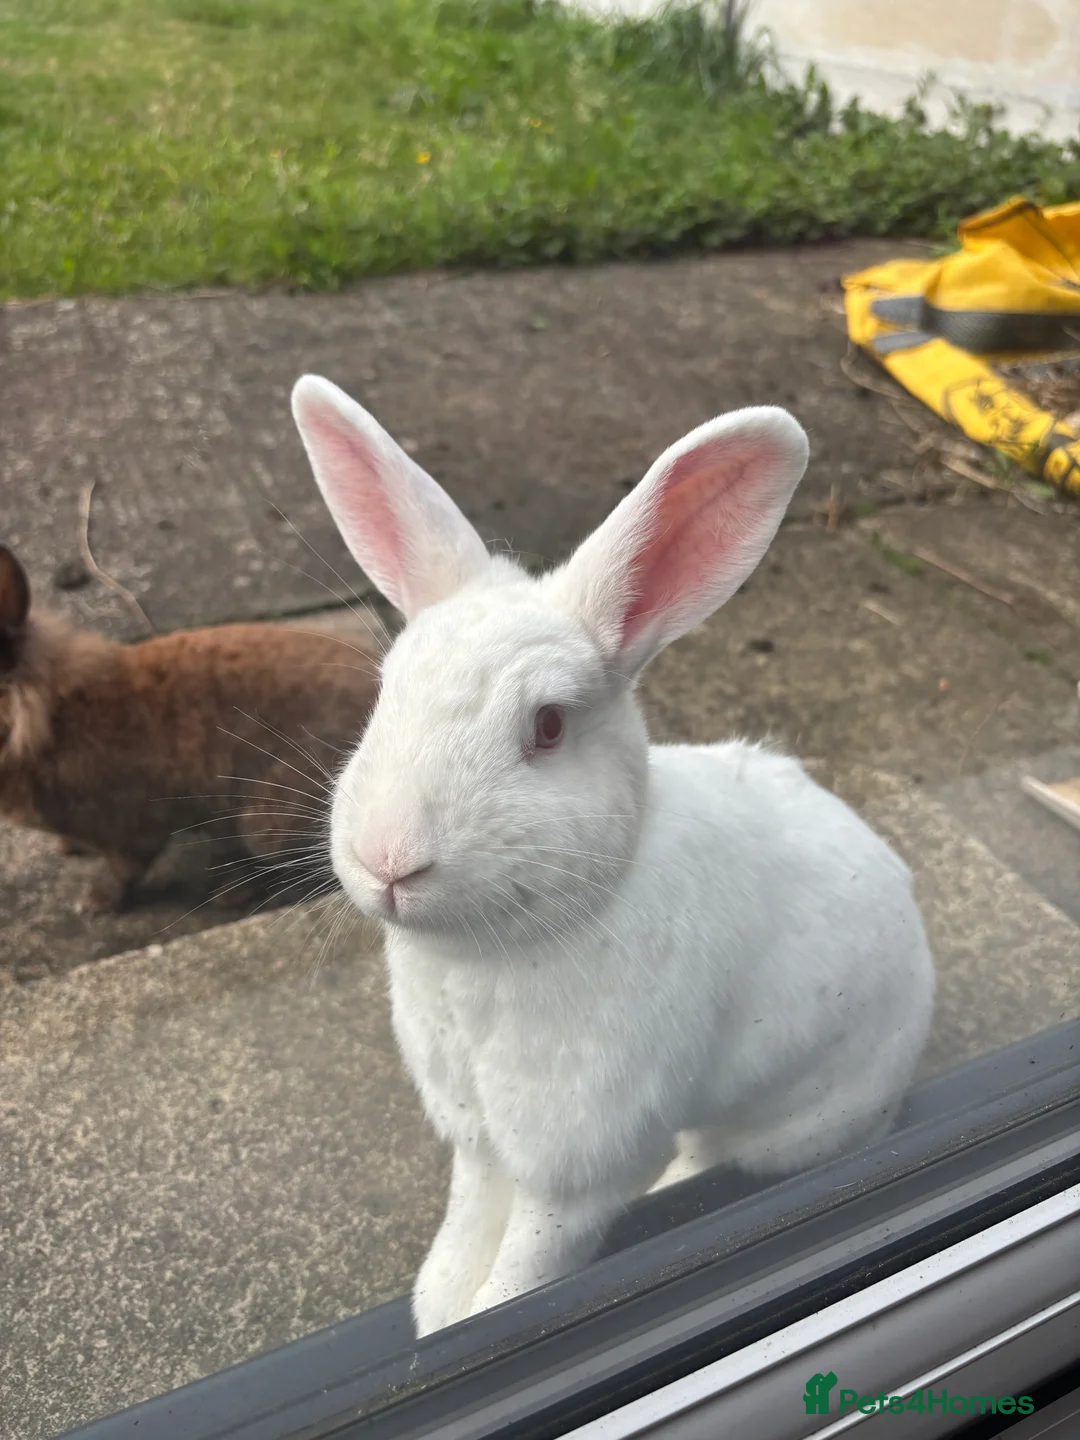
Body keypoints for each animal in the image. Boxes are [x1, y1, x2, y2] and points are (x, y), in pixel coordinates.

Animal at [0, 544, 382, 914]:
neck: (51, 720)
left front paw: (95, 903)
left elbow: (125, 870)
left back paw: (234, 893)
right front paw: (69, 847)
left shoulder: (132, 830)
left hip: (265, 825)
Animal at [290, 375, 936, 1338]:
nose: (390, 859)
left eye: (549, 726)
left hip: (792, 1121)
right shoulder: (481, 1142)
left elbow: (524, 1271)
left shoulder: (574, 1169)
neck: (492, 955)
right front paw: (439, 1317)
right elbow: (460, 1242)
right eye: (384, 692)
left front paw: (484, 1316)